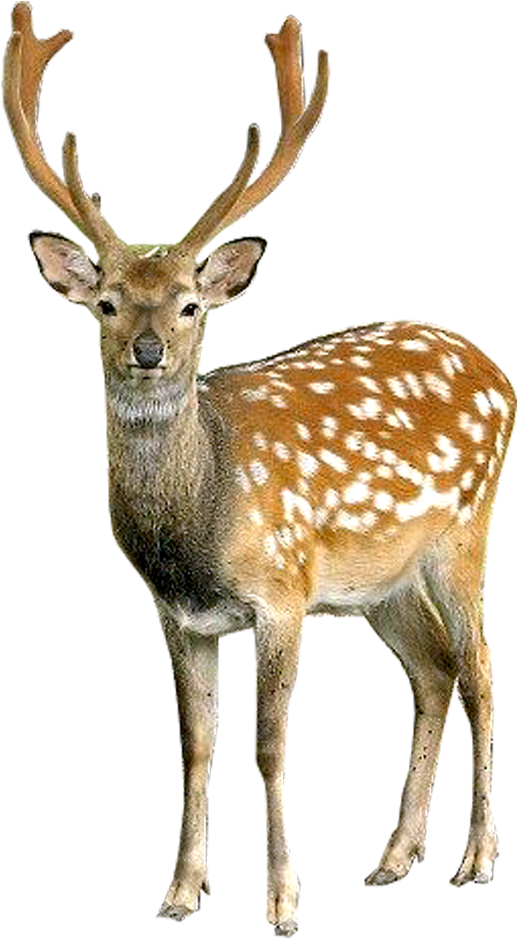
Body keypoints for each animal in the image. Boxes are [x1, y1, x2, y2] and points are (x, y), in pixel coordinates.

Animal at [3, 3, 515, 935]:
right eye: (106, 303)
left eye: (189, 305)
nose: (146, 351)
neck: (200, 523)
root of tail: (498, 370)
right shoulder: (178, 614)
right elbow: (198, 743)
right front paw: (178, 892)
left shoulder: (281, 591)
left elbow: (268, 743)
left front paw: (281, 901)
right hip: (377, 584)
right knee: (433, 671)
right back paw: (392, 859)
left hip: (465, 529)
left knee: (482, 667)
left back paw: (474, 859)